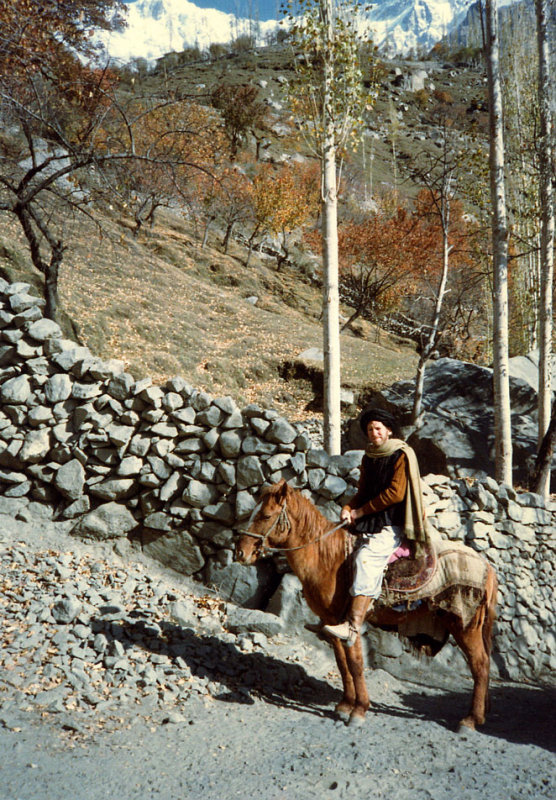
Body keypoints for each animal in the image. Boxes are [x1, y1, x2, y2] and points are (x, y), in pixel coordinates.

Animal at [235, 482, 500, 732]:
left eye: (265, 516)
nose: (240, 552)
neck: (327, 557)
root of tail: (487, 567)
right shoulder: (331, 622)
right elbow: (342, 662)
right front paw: (345, 704)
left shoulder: (351, 623)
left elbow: (355, 662)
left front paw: (359, 709)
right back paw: (481, 714)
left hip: (465, 626)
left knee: (480, 665)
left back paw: (470, 720)